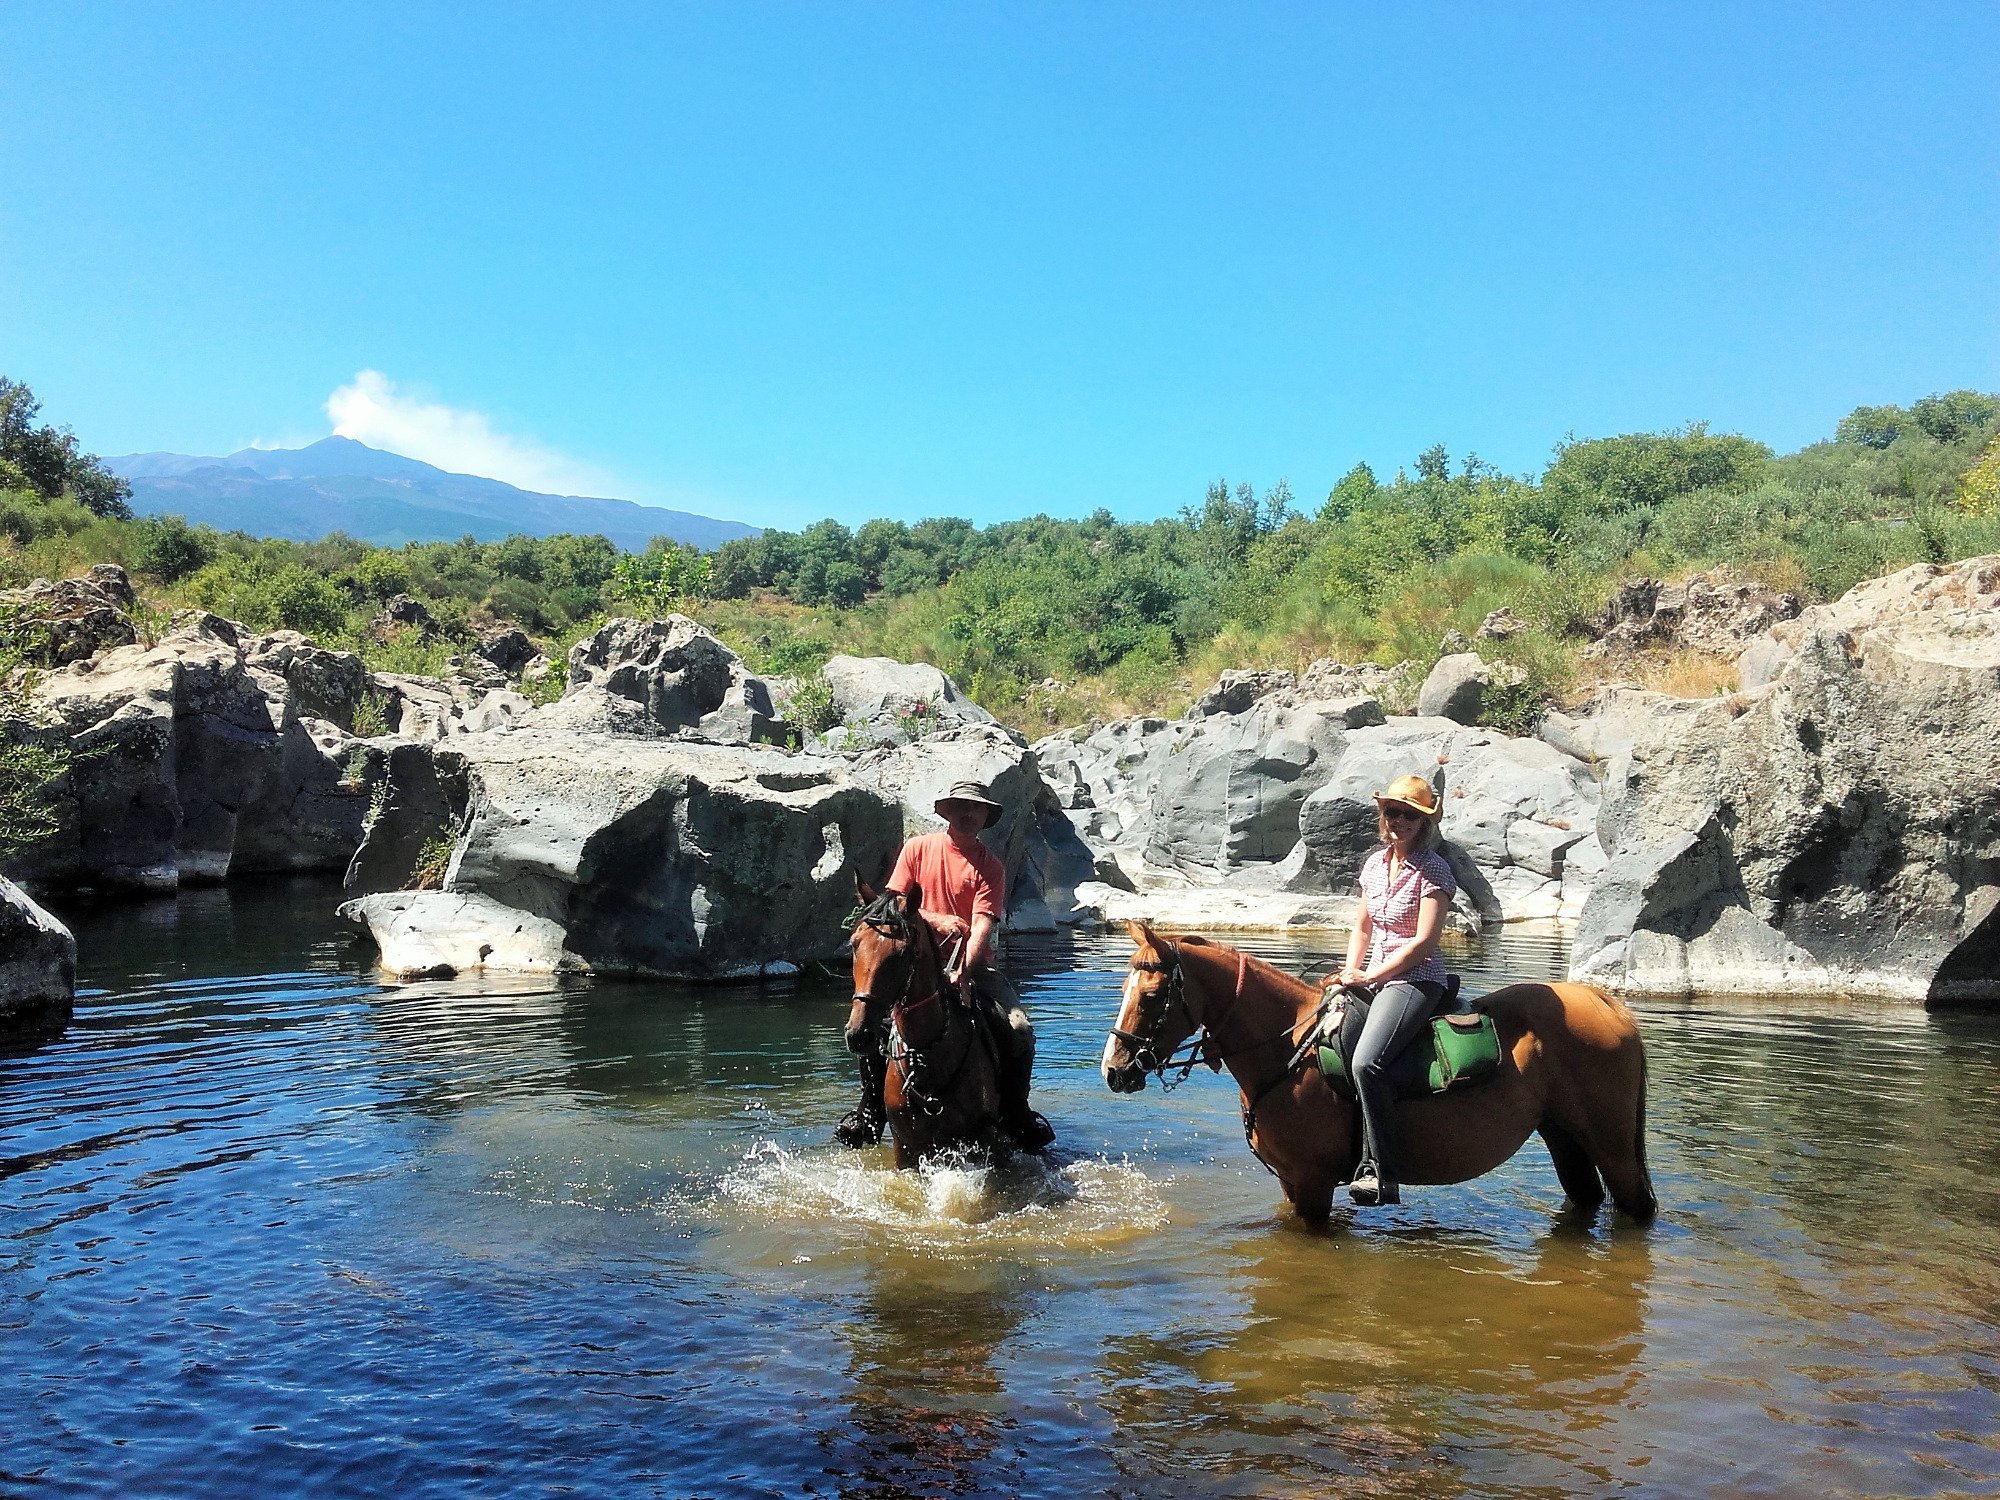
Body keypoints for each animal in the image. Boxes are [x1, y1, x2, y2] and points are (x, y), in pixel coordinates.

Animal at [1096, 924, 1656, 1224]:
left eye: (1151, 996)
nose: (1114, 1071)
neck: (1286, 1054)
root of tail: (1608, 1003)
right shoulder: (1291, 1185)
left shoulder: (1312, 1185)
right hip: (1563, 1135)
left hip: (1611, 1144)